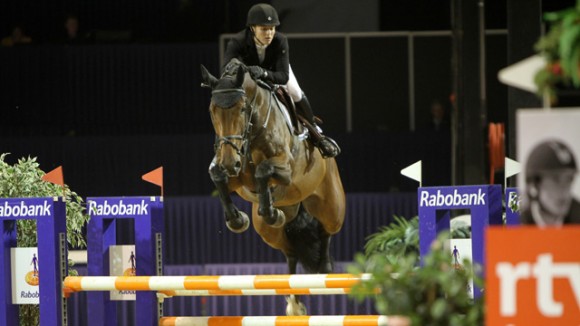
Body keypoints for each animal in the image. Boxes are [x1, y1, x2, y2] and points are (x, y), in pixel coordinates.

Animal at [201, 59, 344, 316]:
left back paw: (324, 267)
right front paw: (237, 220)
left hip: (331, 205)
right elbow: (218, 175)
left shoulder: (286, 170)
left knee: (326, 230)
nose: (229, 162)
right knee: (290, 252)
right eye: (212, 111)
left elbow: (263, 171)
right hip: (268, 231)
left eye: (242, 109)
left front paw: (267, 209)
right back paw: (294, 302)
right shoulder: (234, 174)